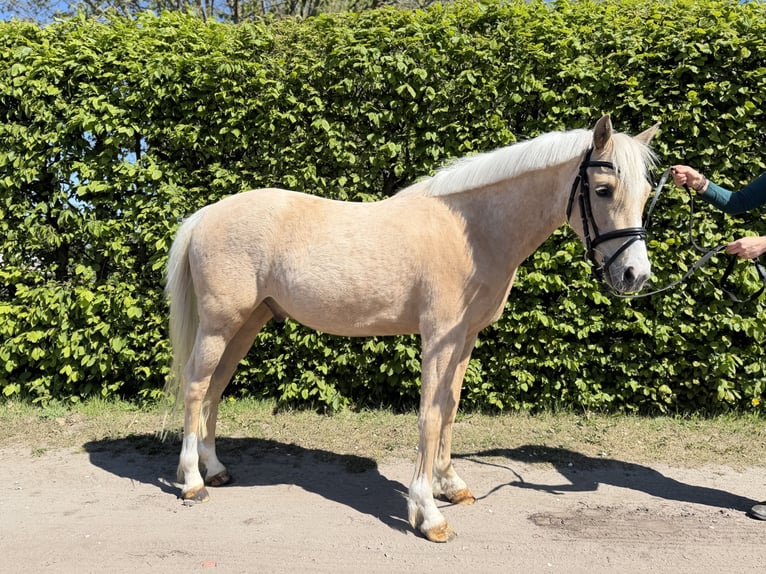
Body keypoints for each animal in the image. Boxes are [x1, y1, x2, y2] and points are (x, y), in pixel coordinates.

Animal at [164, 114, 659, 542]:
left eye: (646, 192)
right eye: (602, 189)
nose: (634, 275)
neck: (472, 232)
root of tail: (205, 215)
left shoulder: (465, 339)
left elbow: (450, 408)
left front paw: (450, 485)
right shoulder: (438, 339)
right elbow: (430, 415)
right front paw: (428, 513)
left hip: (247, 324)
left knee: (215, 389)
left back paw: (215, 469)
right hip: (219, 325)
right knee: (195, 387)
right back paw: (192, 482)